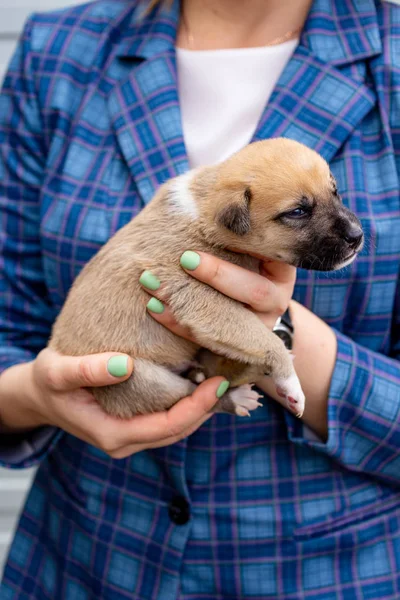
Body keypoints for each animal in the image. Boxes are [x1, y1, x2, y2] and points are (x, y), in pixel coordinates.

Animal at [48, 138, 364, 420]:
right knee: (192, 393)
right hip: (136, 377)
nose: (357, 236)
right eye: (297, 212)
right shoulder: (202, 300)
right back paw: (235, 398)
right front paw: (291, 385)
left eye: (335, 192)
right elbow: (267, 341)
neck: (204, 206)